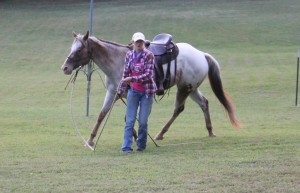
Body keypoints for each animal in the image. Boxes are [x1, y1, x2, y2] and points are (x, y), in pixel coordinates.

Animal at [61, 31, 241, 146]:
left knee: (178, 109)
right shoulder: (112, 93)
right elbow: (102, 114)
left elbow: (129, 117)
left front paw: (135, 136)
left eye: (79, 49)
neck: (118, 60)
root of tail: (202, 54)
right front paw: (91, 139)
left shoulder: (129, 94)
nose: (65, 68)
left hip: (184, 88)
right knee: (204, 103)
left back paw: (161, 133)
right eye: (71, 48)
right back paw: (210, 131)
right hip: (191, 88)